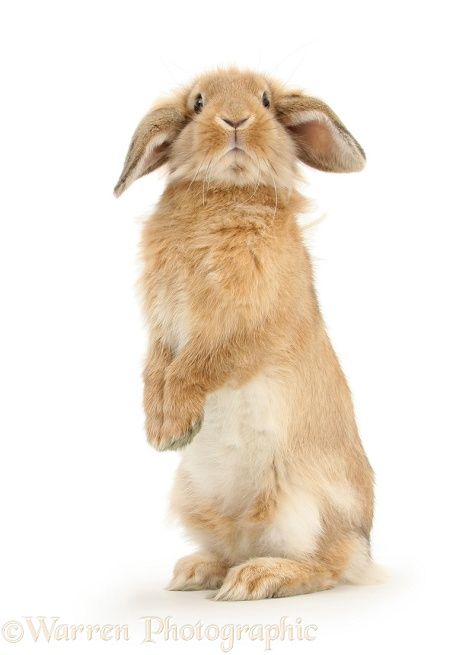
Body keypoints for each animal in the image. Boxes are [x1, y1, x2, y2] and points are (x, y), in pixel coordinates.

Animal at [113, 69, 376, 604]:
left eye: (267, 101)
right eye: (197, 102)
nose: (235, 119)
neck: (224, 193)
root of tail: (364, 542)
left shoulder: (245, 327)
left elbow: (198, 365)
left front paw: (174, 428)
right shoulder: (163, 323)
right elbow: (157, 366)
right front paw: (159, 428)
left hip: (303, 504)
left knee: (327, 565)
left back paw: (257, 579)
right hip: (199, 500)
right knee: (234, 546)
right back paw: (196, 571)